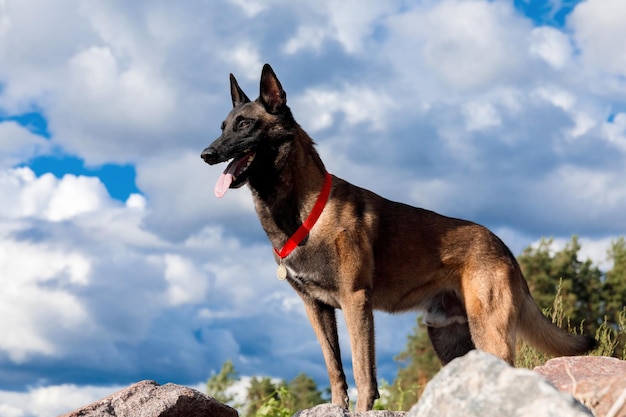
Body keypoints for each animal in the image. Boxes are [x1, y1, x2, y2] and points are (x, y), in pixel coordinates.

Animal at [200, 64, 596, 410]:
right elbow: (335, 367)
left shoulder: (356, 302)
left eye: (245, 124)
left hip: (489, 334)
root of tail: (505, 248)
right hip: (450, 340)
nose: (206, 154)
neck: (303, 209)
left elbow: (363, 371)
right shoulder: (316, 307)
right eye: (223, 127)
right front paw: (337, 406)